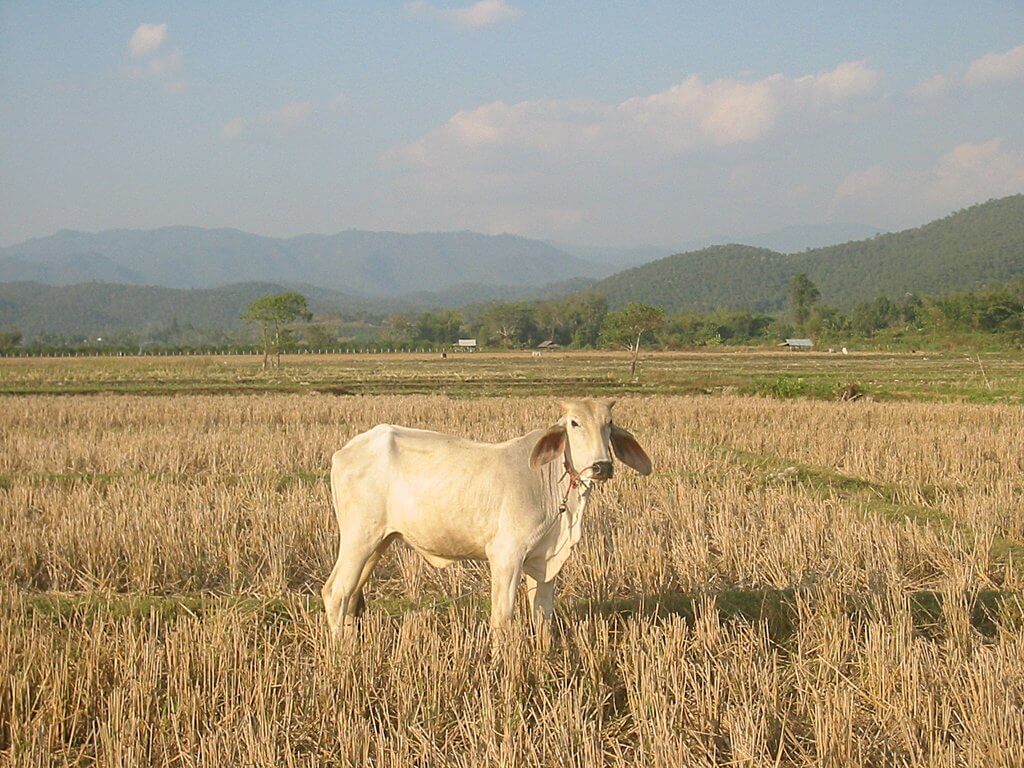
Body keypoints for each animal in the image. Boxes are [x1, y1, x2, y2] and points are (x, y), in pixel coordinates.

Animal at [323, 399, 651, 634]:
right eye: (574, 423)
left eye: (609, 424)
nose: (602, 466)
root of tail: (344, 451)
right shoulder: (506, 556)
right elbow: (502, 618)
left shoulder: (544, 561)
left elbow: (542, 618)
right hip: (358, 539)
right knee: (336, 593)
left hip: (379, 542)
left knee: (351, 596)